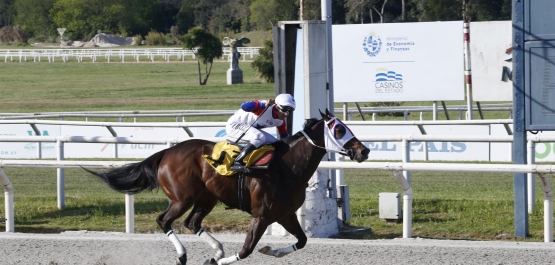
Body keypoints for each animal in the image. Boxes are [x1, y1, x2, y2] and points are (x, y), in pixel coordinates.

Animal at [86, 108, 370, 262]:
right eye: (340, 130)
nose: (364, 151)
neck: (287, 168)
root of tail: (167, 153)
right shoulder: (261, 215)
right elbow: (245, 250)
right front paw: (221, 260)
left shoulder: (286, 214)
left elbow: (301, 242)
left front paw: (270, 250)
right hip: (181, 198)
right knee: (164, 221)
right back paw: (183, 255)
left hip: (206, 198)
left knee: (192, 223)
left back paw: (217, 251)